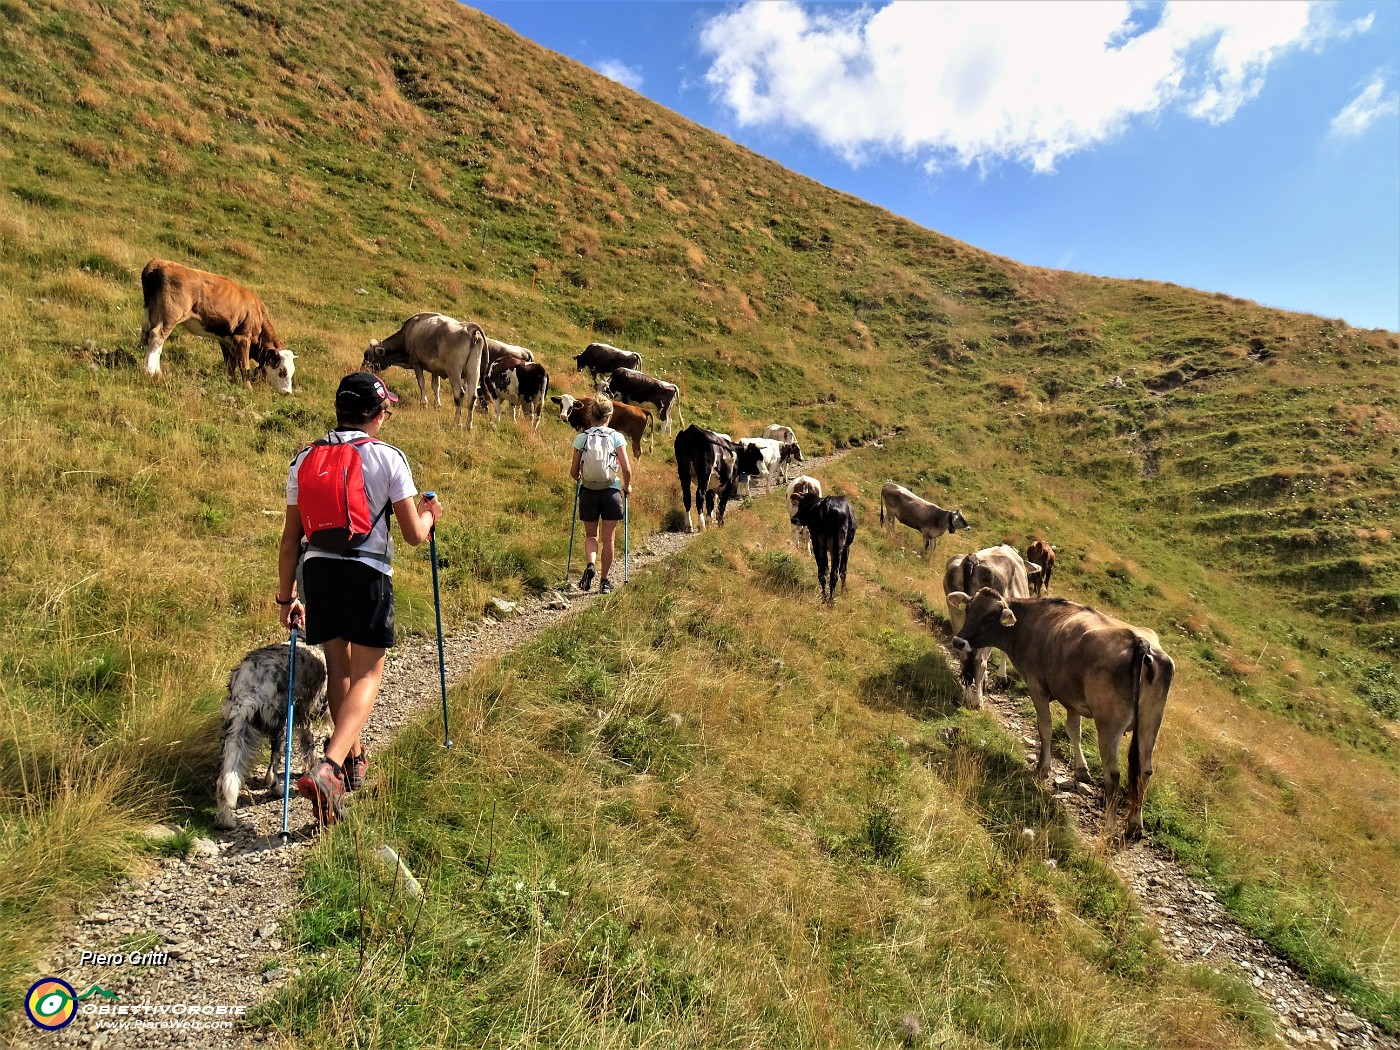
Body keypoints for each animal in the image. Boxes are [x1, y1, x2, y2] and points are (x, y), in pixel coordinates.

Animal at [139, 260, 295, 394]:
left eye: (292, 371)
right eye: (283, 371)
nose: (288, 392)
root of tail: (160, 262)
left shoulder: (226, 340)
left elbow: (230, 365)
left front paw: (232, 383)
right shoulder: (242, 338)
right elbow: (244, 365)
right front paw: (248, 389)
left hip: (151, 311)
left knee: (147, 334)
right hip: (170, 315)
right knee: (156, 336)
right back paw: (151, 372)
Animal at [214, 641, 329, 828]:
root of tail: (249, 683)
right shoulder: (309, 713)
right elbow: (310, 748)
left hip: (235, 730)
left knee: (222, 782)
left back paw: (226, 821)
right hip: (282, 725)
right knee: (271, 772)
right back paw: (279, 790)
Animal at [940, 546, 1041, 711]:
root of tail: (972, 559)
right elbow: (1004, 652)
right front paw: (1001, 678)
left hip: (956, 615)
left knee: (964, 657)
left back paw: (967, 696)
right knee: (979, 660)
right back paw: (977, 701)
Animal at [952, 593, 1170, 845]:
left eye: (989, 616)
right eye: (969, 609)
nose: (959, 641)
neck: (1030, 622)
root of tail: (1139, 642)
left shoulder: (1037, 686)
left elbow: (1045, 728)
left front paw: (1042, 768)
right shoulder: (1072, 698)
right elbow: (1073, 730)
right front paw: (1081, 770)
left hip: (1109, 724)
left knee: (1113, 776)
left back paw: (1109, 828)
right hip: (1150, 722)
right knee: (1144, 769)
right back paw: (1135, 825)